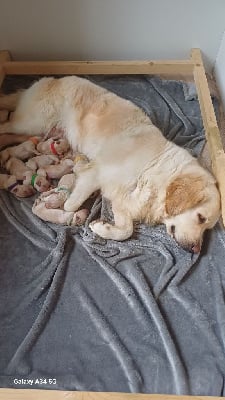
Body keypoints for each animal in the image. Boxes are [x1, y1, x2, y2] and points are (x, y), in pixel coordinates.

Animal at [0, 76, 221, 252]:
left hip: (31, 130)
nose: (196, 250)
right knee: (6, 124)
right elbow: (73, 203)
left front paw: (101, 227)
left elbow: (126, 230)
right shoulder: (96, 173)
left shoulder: (122, 198)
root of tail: (54, 79)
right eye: (201, 218)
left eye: (207, 227)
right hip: (31, 123)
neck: (154, 172)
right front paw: (65, 206)